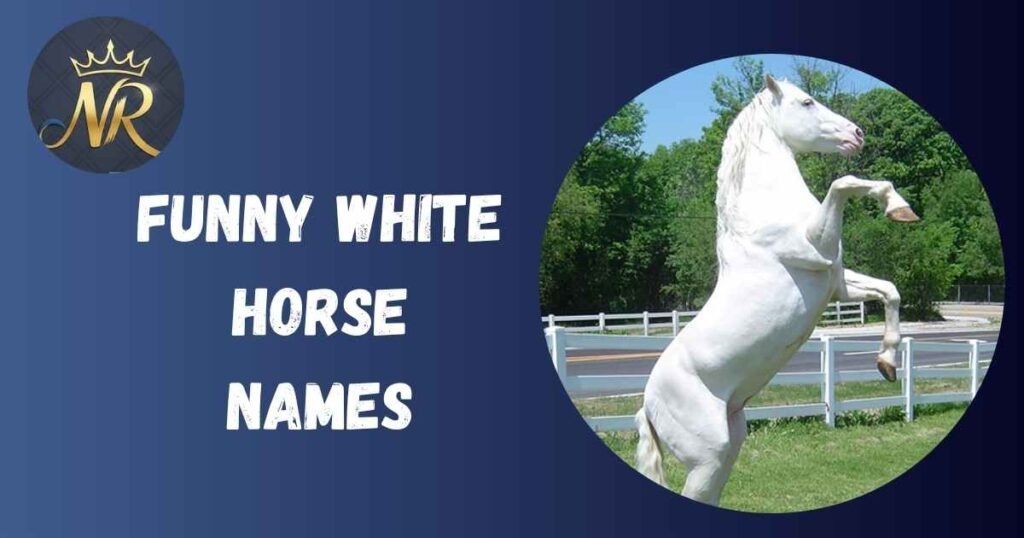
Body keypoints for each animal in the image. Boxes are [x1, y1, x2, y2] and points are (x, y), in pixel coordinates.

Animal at [635, 75, 918, 506]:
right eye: (807, 102)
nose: (857, 134)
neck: (763, 212)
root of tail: (647, 406)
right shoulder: (816, 249)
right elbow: (842, 183)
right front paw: (895, 205)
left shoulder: (834, 283)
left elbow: (889, 292)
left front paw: (886, 363)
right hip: (708, 455)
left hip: (730, 445)